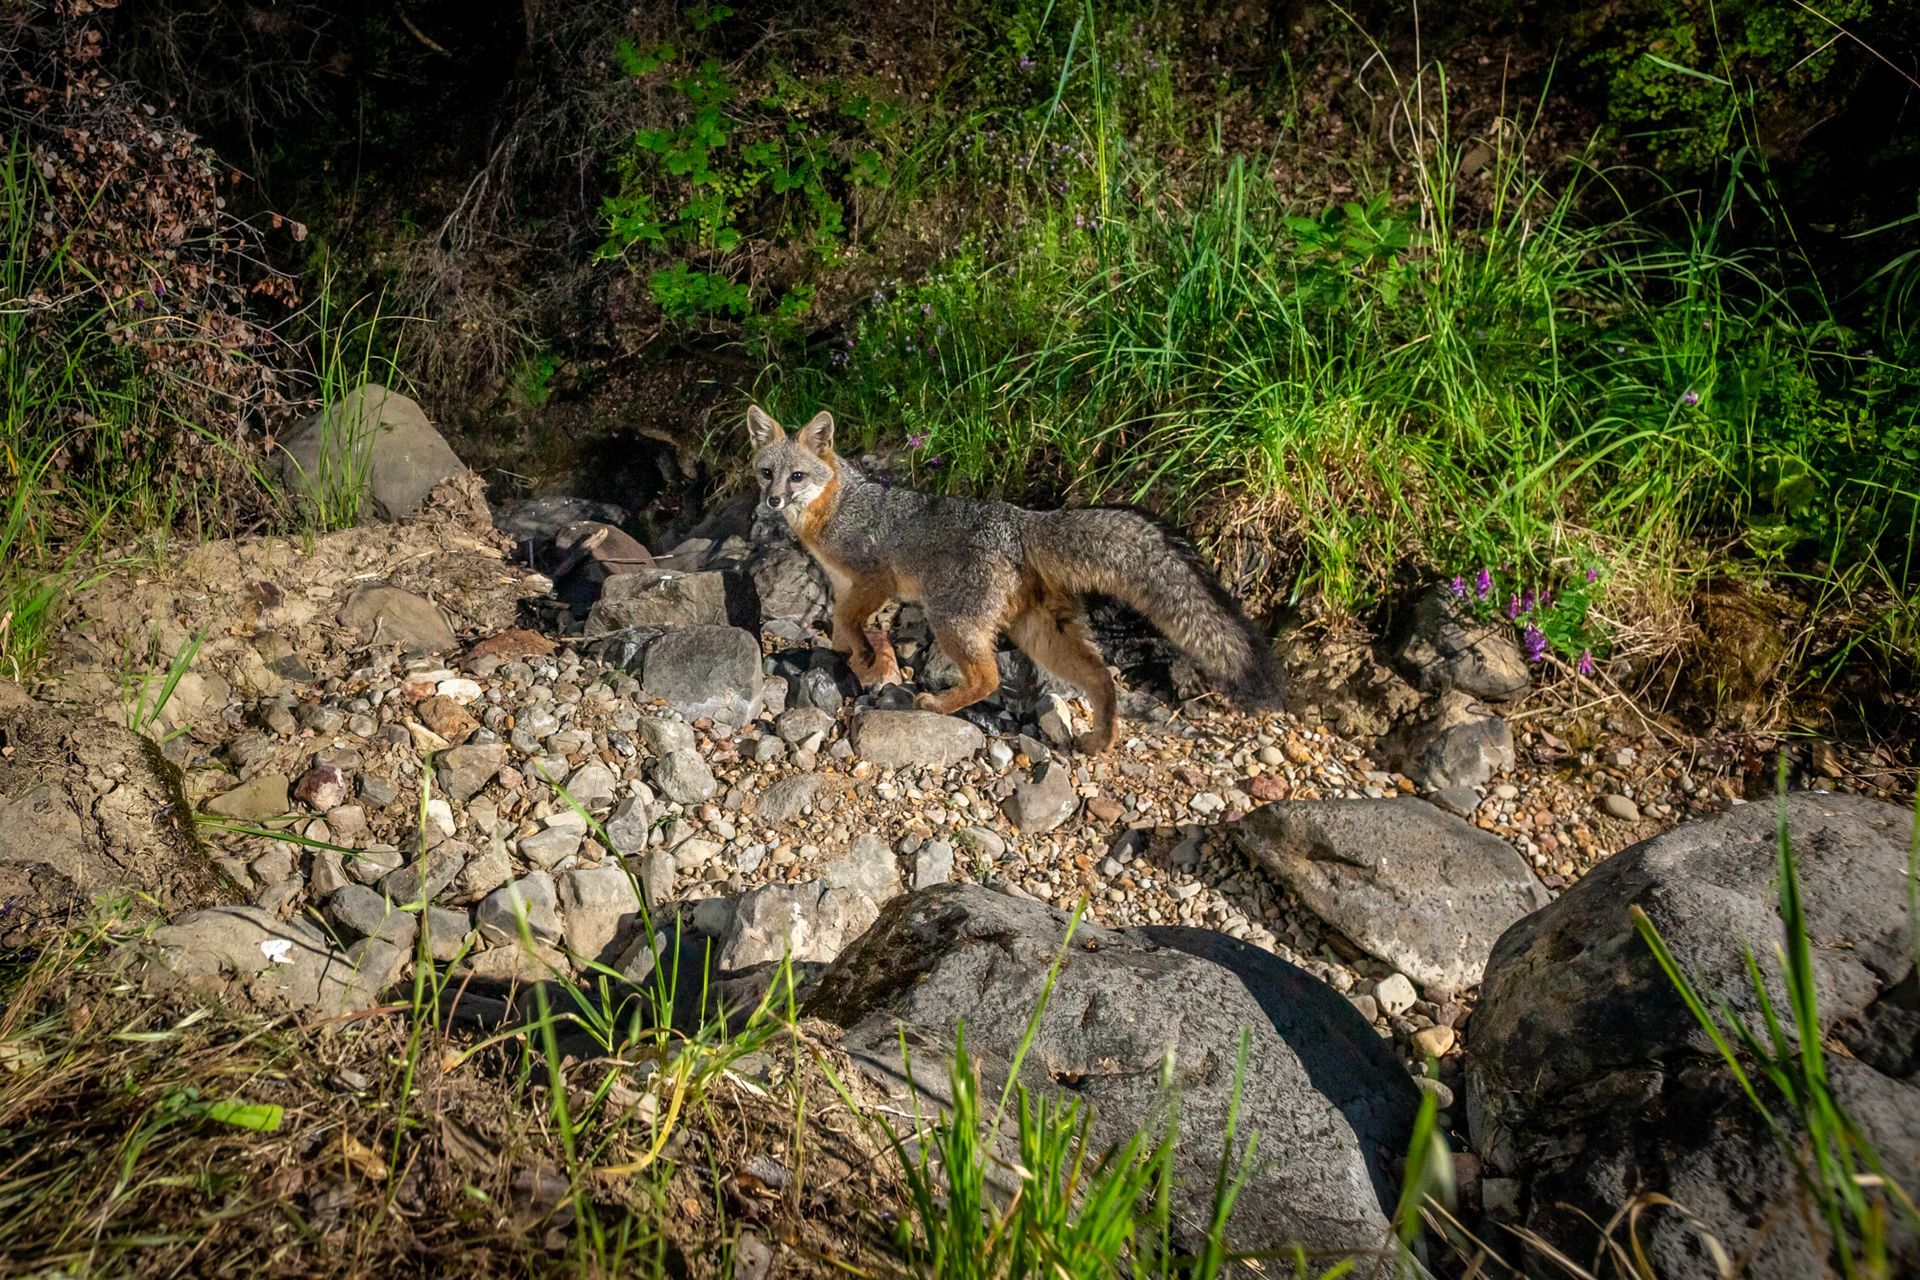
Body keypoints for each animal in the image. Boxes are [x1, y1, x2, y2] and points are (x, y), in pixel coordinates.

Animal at [746, 404, 1284, 753]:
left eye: (796, 477)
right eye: (767, 473)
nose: (772, 500)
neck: (833, 509)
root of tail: (1019, 517)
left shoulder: (874, 578)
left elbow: (849, 619)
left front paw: (859, 652)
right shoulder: (843, 585)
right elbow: (840, 621)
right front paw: (850, 652)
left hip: (953, 621)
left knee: (988, 677)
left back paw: (938, 704)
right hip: (1041, 635)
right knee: (1101, 677)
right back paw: (1100, 738)